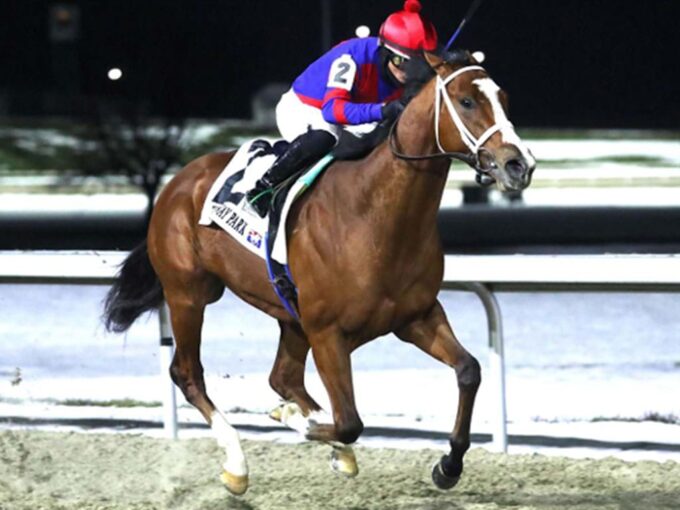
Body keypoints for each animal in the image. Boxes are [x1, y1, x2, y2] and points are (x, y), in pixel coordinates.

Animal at [102, 49, 536, 496]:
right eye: (466, 101)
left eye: (503, 98)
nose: (518, 164)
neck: (375, 216)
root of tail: (176, 183)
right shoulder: (328, 331)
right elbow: (349, 422)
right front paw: (295, 419)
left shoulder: (415, 316)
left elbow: (469, 370)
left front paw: (448, 464)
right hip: (189, 293)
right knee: (188, 373)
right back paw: (238, 462)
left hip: (288, 312)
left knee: (283, 377)